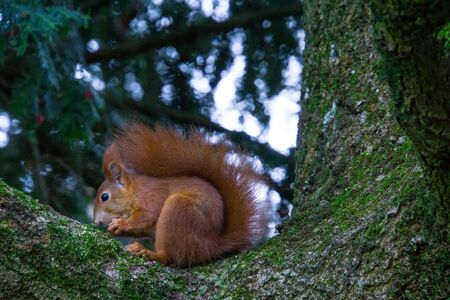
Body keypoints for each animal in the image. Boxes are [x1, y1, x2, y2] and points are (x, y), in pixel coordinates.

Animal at [92, 122, 268, 268]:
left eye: (104, 197)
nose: (96, 222)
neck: (134, 190)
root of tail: (211, 245)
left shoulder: (151, 196)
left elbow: (147, 216)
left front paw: (121, 224)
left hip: (179, 210)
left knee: (169, 257)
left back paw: (147, 252)